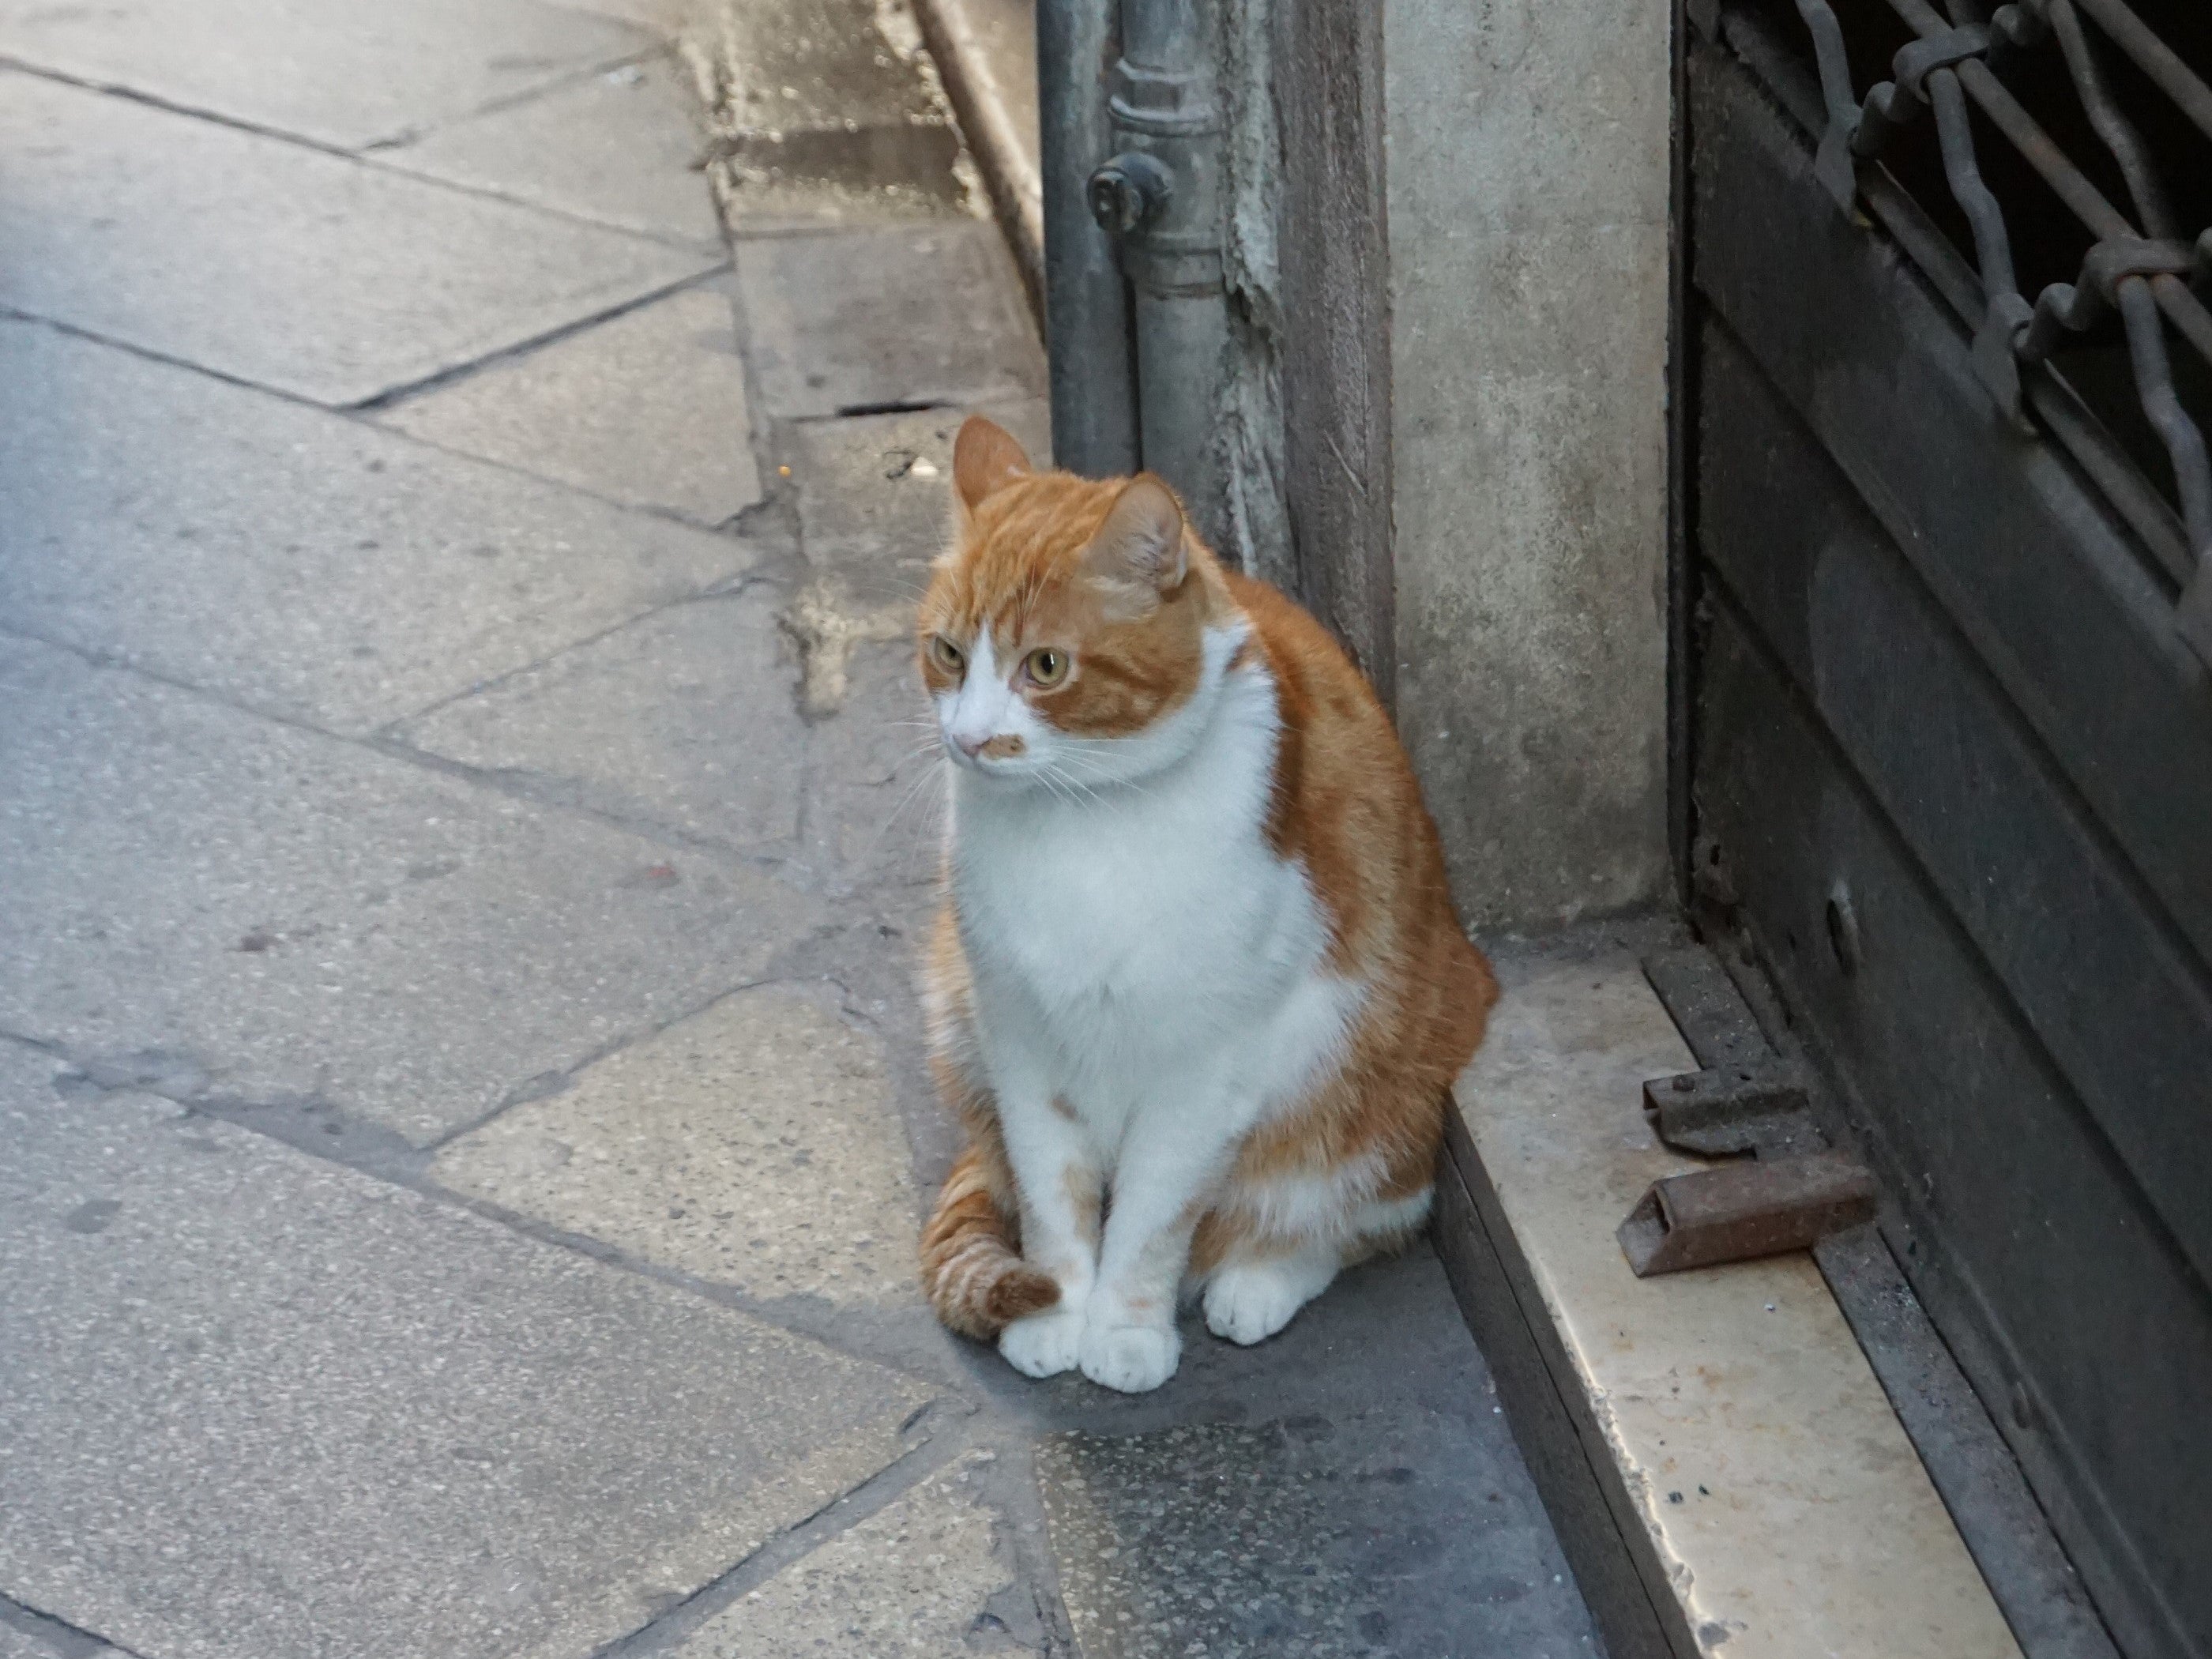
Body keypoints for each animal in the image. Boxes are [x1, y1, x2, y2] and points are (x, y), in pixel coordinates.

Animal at [916, 416, 1504, 1389]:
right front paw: (1060, 1310)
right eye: (948, 654)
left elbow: (1153, 1219)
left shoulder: (1202, 1071)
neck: (1084, 827)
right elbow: (1051, 1198)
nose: (968, 739)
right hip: (952, 1010)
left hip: (1377, 1099)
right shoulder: (1021, 1043)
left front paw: (1124, 1330)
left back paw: (1254, 1282)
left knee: (1349, 1217)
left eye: (1047, 666)